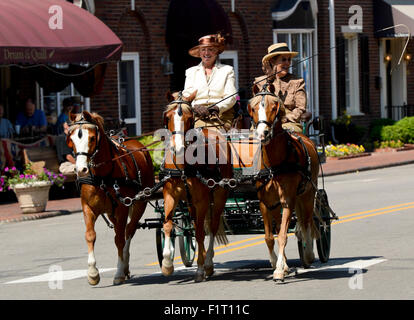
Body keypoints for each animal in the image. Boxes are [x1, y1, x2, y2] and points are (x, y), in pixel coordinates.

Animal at [67, 110, 154, 284]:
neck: (102, 176)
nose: (81, 169)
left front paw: (119, 272)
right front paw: (92, 273)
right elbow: (90, 236)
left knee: (129, 231)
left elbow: (120, 239)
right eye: (71, 140)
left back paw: (124, 266)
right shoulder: (88, 207)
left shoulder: (122, 208)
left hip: (139, 204)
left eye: (92, 138)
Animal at [161, 91, 234, 282]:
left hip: (219, 194)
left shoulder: (202, 200)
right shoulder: (170, 196)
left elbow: (201, 232)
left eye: (189, 117)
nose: (178, 147)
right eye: (168, 117)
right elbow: (168, 225)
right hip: (190, 203)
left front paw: (201, 268)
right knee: (197, 224)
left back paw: (207, 264)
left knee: (212, 227)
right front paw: (167, 264)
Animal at [247, 83, 318, 282]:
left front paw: (279, 269)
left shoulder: (288, 199)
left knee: (307, 223)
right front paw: (278, 264)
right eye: (253, 108)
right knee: (281, 226)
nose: (262, 133)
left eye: (274, 107)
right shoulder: (265, 201)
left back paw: (309, 255)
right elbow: (271, 236)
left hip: (308, 194)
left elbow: (283, 235)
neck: (273, 164)